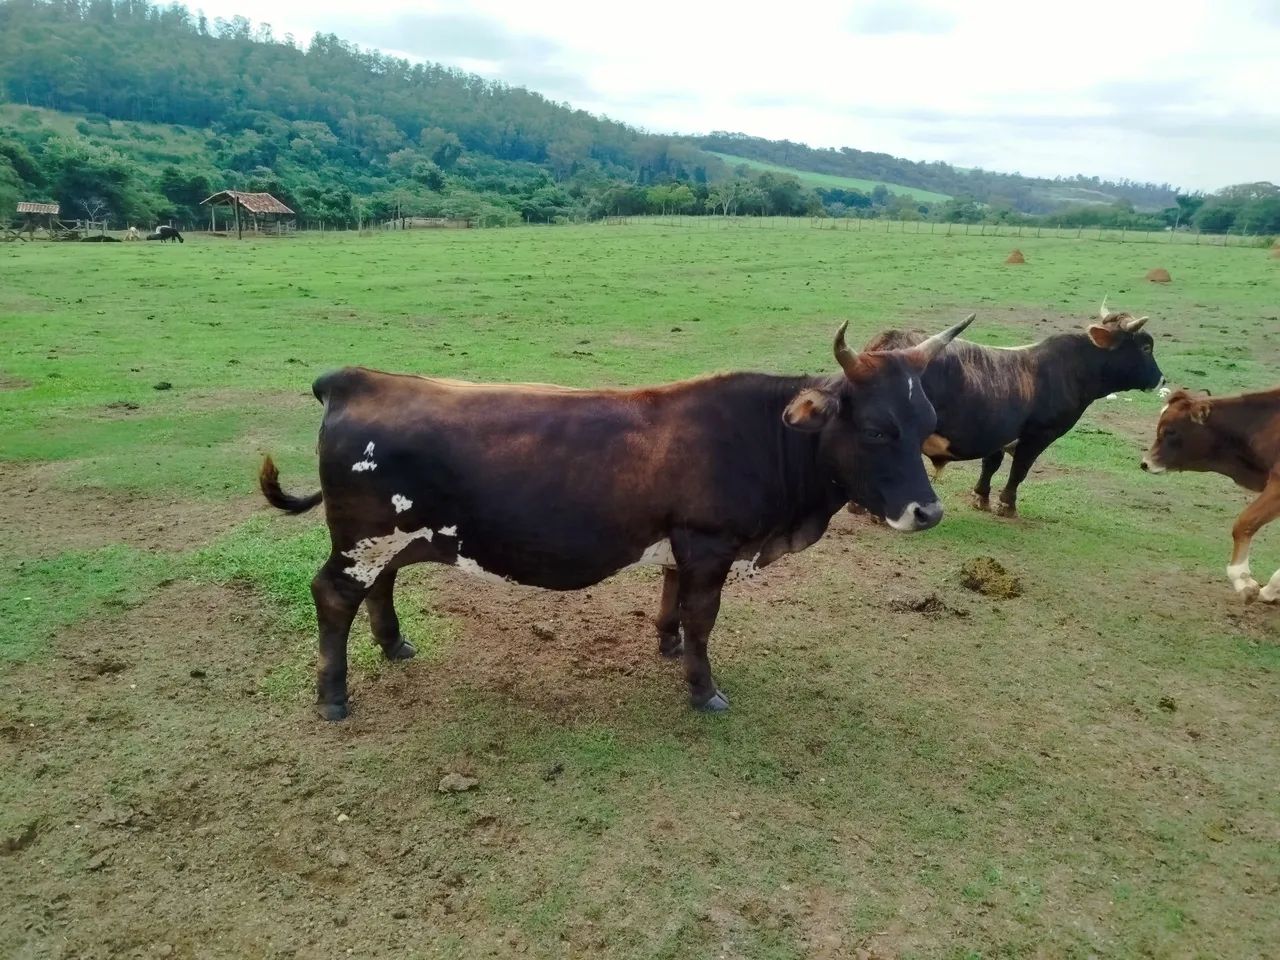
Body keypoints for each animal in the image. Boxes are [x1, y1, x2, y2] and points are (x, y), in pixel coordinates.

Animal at [259, 314, 976, 720]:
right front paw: (702, 690)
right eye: (878, 429)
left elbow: (671, 601)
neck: (761, 434)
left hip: (389, 537)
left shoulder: (682, 542)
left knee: (379, 585)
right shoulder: (710, 543)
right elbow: (702, 618)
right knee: (333, 595)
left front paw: (667, 645)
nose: (929, 511)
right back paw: (333, 697)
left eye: (926, 423)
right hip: (363, 537)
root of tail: (355, 379)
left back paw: (394, 645)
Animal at [862, 301, 1164, 517]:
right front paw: (1007, 504)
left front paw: (981, 496)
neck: (1072, 369)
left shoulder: (998, 432)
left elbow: (991, 464)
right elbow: (1020, 468)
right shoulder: (1039, 435)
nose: (1160, 379)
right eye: (1146, 347)